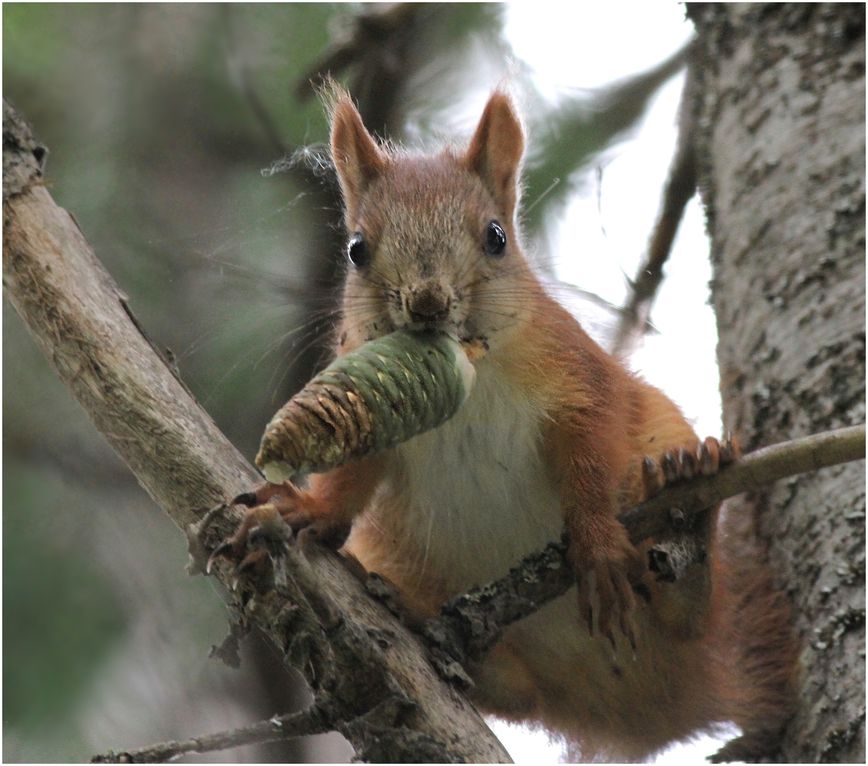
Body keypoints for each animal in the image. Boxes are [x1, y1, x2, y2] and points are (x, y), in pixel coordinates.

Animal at [220, 88, 796, 760]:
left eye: (496, 237)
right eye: (356, 249)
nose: (427, 301)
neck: (471, 369)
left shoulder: (579, 385)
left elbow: (590, 461)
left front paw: (597, 543)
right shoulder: (378, 417)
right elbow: (353, 477)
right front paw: (308, 510)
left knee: (690, 619)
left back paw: (691, 515)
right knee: (514, 692)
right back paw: (417, 617)